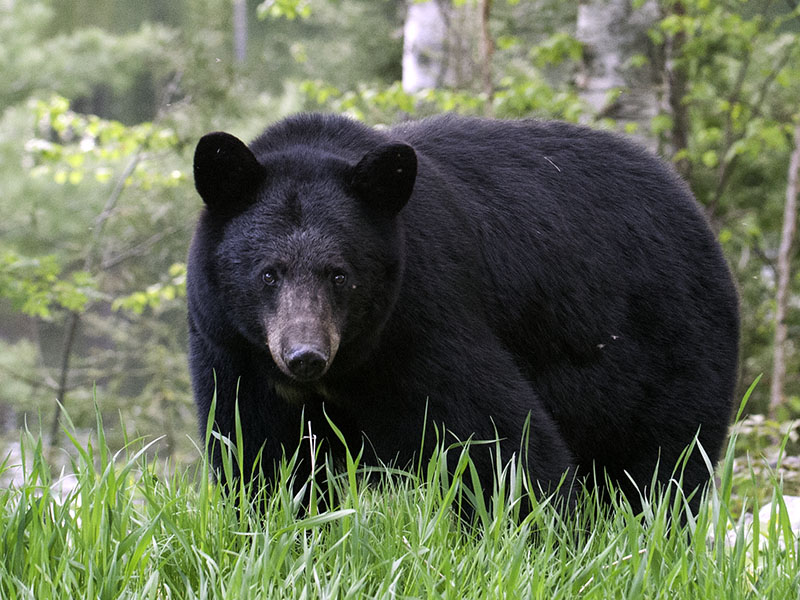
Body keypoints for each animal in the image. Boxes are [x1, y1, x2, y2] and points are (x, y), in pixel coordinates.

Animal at [187, 112, 739, 516]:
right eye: (268, 274)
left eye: (339, 275)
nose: (305, 355)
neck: (349, 366)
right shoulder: (235, 353)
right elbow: (259, 456)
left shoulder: (425, 318)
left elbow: (497, 439)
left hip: (668, 350)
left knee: (662, 467)